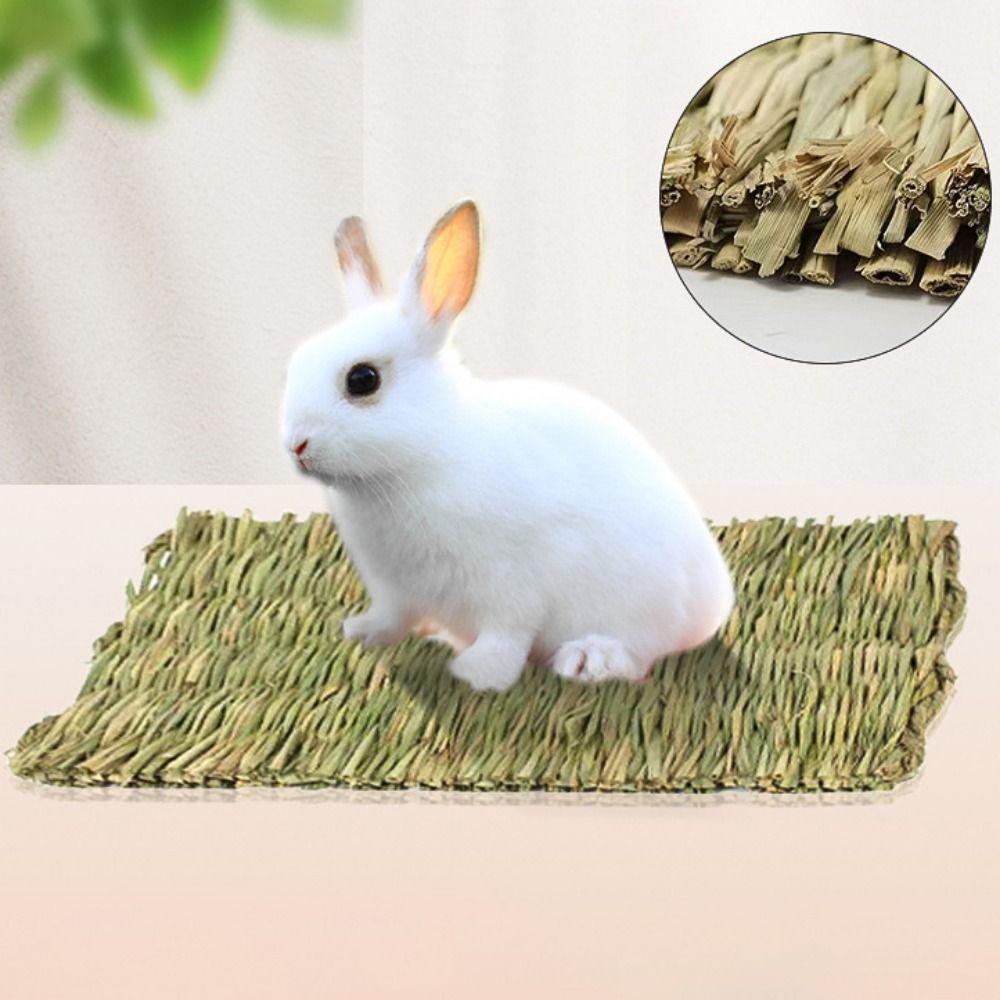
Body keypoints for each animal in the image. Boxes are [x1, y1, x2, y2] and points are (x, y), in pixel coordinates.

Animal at [281, 200, 734, 692]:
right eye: (297, 362)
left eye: (362, 380)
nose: (295, 445)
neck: (426, 455)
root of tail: (716, 603)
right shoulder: (392, 589)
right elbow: (391, 617)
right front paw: (360, 632)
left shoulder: (510, 588)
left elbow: (507, 636)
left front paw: (477, 675)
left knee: (639, 654)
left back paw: (587, 659)